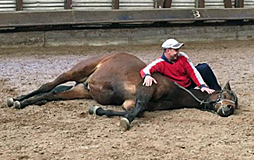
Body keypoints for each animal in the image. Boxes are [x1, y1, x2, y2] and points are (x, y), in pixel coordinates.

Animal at [7, 53, 238, 131]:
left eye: (234, 104)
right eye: (227, 96)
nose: (228, 110)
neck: (174, 90)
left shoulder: (130, 102)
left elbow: (132, 110)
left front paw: (98, 111)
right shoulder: (145, 90)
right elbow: (136, 111)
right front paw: (124, 121)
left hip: (81, 89)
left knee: (51, 95)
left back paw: (26, 102)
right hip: (76, 71)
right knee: (47, 85)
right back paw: (16, 100)